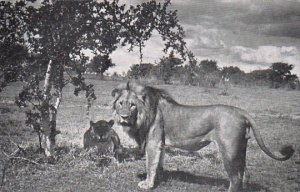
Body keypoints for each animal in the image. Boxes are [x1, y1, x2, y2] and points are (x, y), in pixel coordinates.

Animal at [111, 81, 294, 192]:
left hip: (229, 150)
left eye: (132, 105)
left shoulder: (153, 142)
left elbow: (150, 164)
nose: (124, 117)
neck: (144, 113)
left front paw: (147, 184)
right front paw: (160, 179)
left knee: (236, 177)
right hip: (241, 149)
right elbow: (159, 163)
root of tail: (242, 112)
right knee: (245, 174)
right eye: (121, 103)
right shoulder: (160, 143)